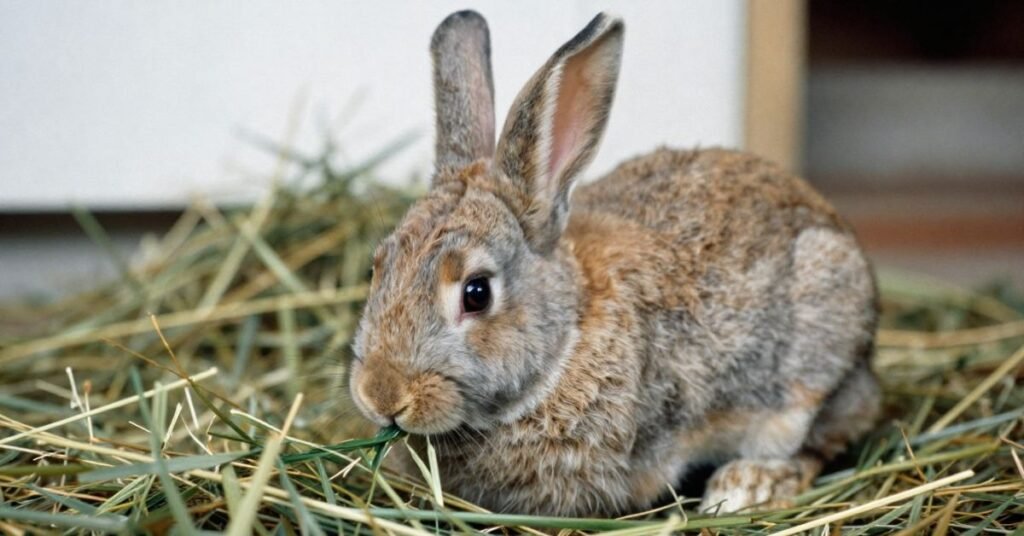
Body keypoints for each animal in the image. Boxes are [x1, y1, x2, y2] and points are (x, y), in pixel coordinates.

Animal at [347, 10, 881, 517]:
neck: (568, 338)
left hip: (814, 360)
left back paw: (746, 487)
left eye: (476, 293)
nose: (382, 395)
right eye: (377, 269)